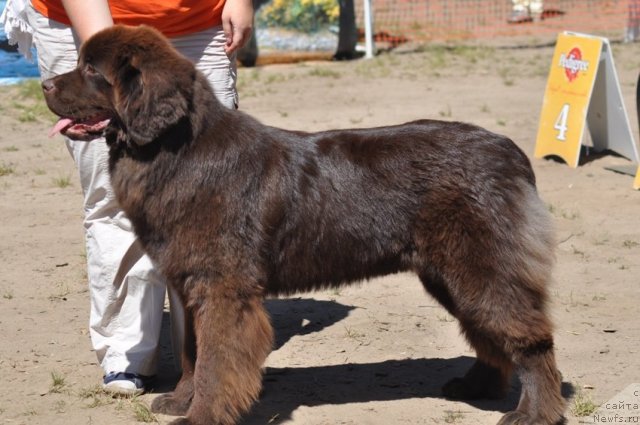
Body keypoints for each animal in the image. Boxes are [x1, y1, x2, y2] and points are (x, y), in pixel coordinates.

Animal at [42, 25, 564, 424]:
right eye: (80, 62)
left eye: (92, 71)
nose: (45, 85)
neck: (176, 151)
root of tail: (509, 151)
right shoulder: (190, 283)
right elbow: (192, 351)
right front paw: (179, 400)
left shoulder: (223, 288)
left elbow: (216, 360)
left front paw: (201, 415)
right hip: (450, 275)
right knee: (488, 333)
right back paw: (477, 386)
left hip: (481, 268)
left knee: (531, 340)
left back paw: (533, 413)